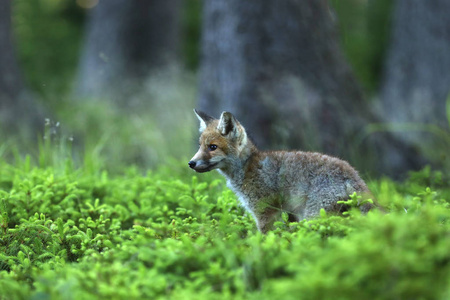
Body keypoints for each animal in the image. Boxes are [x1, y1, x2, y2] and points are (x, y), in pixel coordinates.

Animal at [188, 109, 374, 233]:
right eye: (200, 146)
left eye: (212, 147)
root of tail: (352, 173)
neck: (247, 167)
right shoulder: (289, 214)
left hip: (314, 217)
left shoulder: (265, 212)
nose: (191, 163)